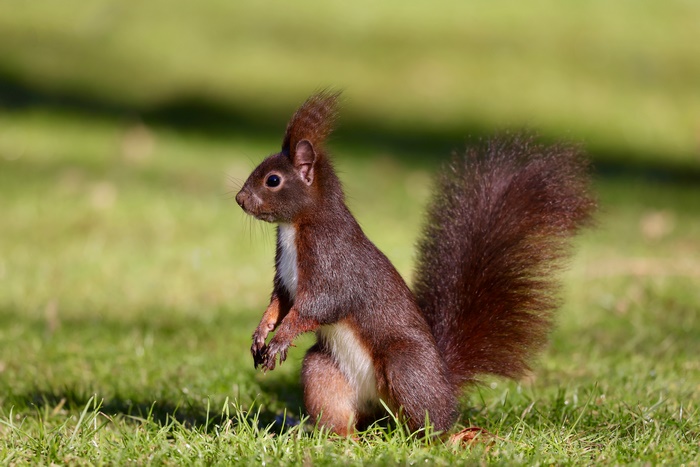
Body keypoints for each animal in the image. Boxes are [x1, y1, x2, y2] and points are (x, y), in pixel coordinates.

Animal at [235, 91, 595, 436]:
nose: (239, 199)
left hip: (405, 366)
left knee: (432, 420)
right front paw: (261, 333)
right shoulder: (286, 280)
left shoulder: (334, 265)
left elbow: (320, 305)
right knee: (338, 409)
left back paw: (447, 437)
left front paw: (281, 338)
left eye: (272, 180)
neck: (295, 228)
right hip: (323, 370)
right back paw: (337, 437)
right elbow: (279, 303)